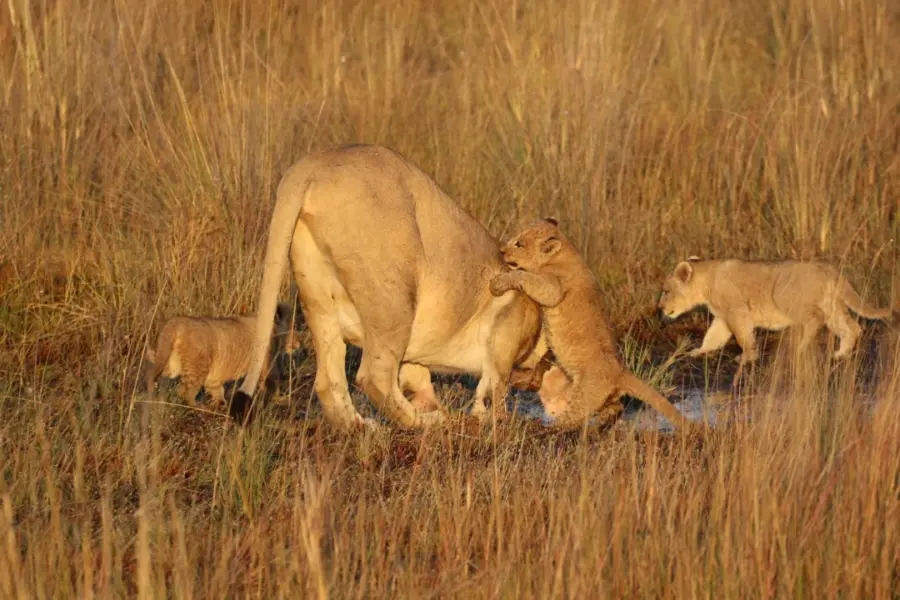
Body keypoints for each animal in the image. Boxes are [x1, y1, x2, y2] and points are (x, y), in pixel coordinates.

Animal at [145, 303, 302, 407]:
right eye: (293, 329)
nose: (300, 343)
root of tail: (177, 322)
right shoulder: (266, 364)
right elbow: (271, 383)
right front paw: (279, 399)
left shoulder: (214, 377)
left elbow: (216, 388)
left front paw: (220, 403)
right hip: (198, 366)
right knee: (185, 390)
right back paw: (196, 406)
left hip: (172, 362)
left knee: (158, 372)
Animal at [230, 144, 547, 430]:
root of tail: (313, 166)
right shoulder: (507, 327)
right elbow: (495, 385)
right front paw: (492, 418)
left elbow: (416, 372)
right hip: (394, 299)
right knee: (374, 377)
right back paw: (429, 422)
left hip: (316, 295)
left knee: (328, 382)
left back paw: (361, 426)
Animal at [489, 218, 691, 431]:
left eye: (519, 244)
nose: (501, 250)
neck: (564, 252)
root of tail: (620, 372)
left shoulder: (552, 287)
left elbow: (524, 276)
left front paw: (499, 282)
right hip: (603, 398)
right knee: (616, 407)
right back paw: (599, 427)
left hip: (584, 394)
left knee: (571, 419)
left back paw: (545, 428)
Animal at [658, 257, 894, 380]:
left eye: (666, 291)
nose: (660, 308)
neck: (706, 282)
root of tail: (829, 270)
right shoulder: (723, 318)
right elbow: (712, 337)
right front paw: (699, 351)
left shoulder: (736, 312)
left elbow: (744, 337)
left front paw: (746, 357)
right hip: (833, 306)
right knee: (852, 327)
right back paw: (841, 353)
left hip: (783, 295)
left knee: (815, 319)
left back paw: (801, 347)